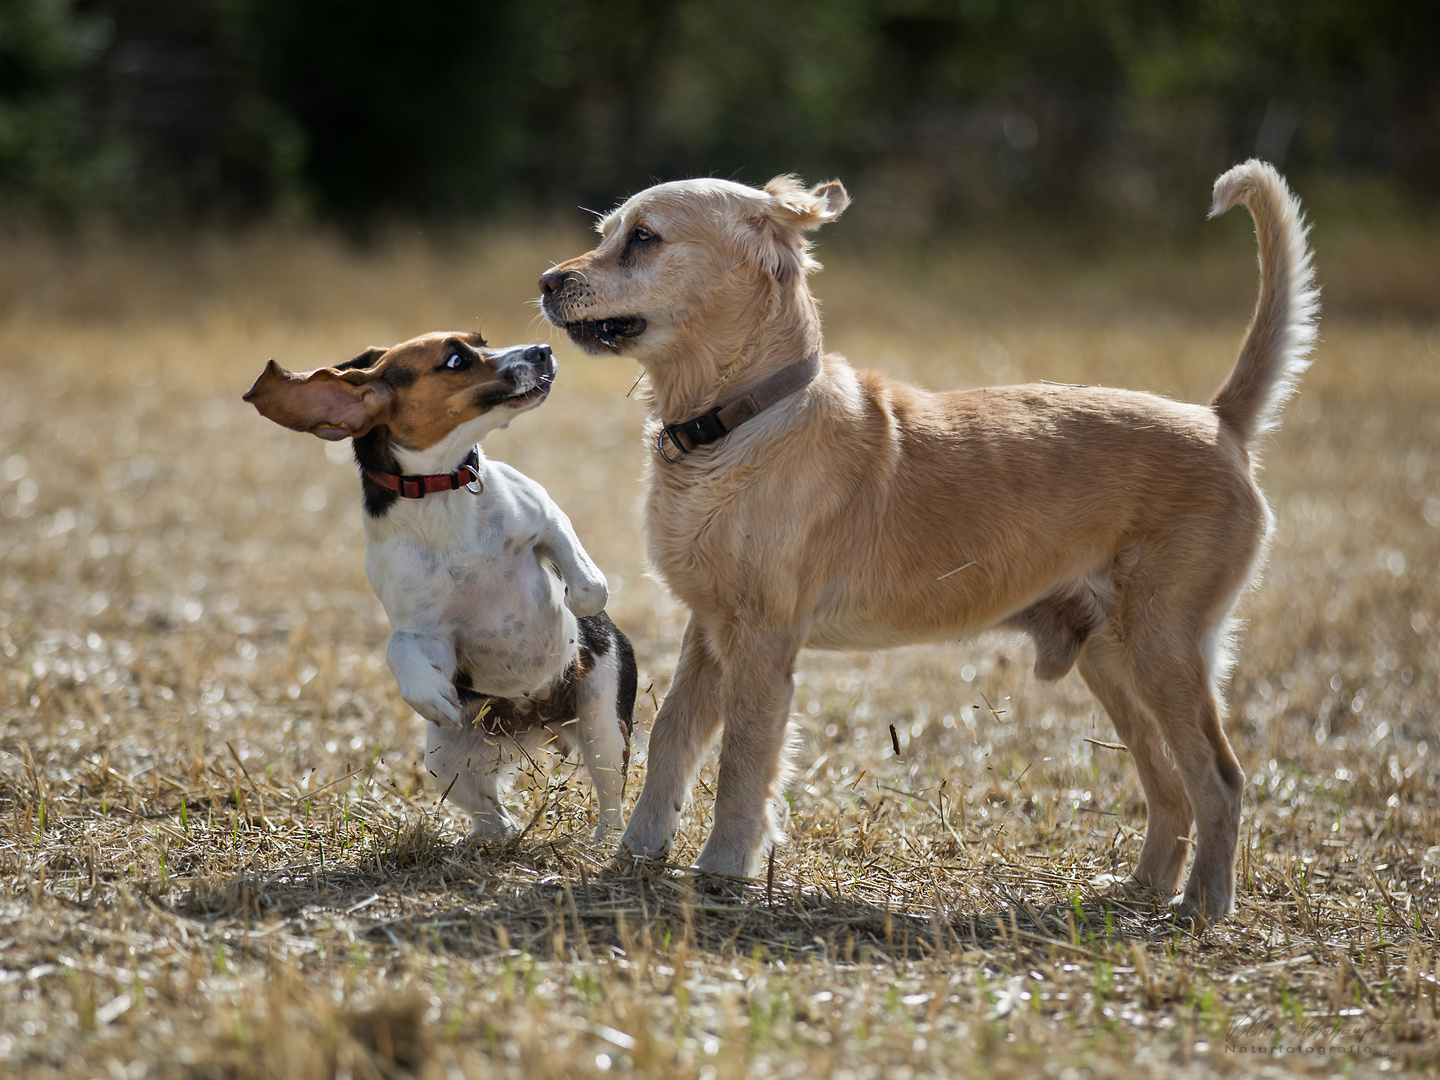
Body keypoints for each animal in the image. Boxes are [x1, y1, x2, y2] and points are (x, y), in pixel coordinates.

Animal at [243, 334, 636, 840]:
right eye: (455, 360)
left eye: (481, 341)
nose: (543, 350)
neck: (443, 489)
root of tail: (537, 722)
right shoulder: (427, 633)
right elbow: (398, 648)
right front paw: (429, 692)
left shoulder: (545, 514)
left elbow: (589, 588)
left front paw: (573, 608)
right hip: (445, 762)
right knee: (493, 814)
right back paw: (493, 836)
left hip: (602, 726)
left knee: (611, 803)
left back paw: (607, 844)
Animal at [538, 162, 1319, 921]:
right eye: (608, 233)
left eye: (644, 238)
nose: (546, 282)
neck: (734, 423)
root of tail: (1219, 421)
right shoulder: (708, 630)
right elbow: (672, 736)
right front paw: (637, 852)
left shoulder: (763, 640)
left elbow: (742, 763)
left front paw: (722, 869)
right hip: (1113, 659)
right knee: (1171, 785)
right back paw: (1142, 890)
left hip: (1164, 647)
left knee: (1220, 779)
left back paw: (1205, 906)